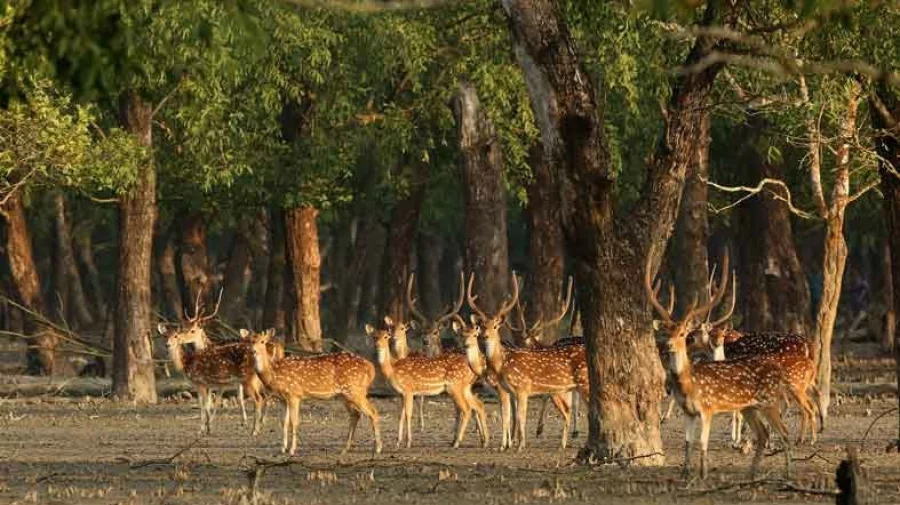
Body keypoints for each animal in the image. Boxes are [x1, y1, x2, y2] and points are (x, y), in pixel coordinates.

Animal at [248, 328, 382, 454]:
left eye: (263, 341)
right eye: (250, 341)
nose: (253, 351)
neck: (273, 374)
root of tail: (371, 368)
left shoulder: (294, 394)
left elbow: (294, 422)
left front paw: (292, 450)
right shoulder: (283, 399)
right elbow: (284, 423)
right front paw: (282, 448)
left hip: (355, 390)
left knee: (373, 412)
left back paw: (378, 448)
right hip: (344, 395)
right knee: (356, 414)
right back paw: (345, 449)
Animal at [468, 274, 588, 450]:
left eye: (496, 326)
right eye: (481, 326)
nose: (485, 336)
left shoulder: (522, 388)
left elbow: (519, 417)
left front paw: (519, 445)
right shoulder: (510, 391)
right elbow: (509, 415)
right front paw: (506, 445)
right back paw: (564, 443)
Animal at [648, 250, 796, 478]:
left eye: (682, 334)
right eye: (666, 332)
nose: (667, 345)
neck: (688, 385)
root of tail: (777, 370)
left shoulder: (707, 408)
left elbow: (702, 443)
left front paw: (703, 475)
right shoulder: (689, 412)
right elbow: (687, 443)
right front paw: (684, 474)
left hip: (769, 402)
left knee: (785, 432)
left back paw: (788, 473)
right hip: (749, 407)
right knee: (762, 434)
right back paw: (751, 473)